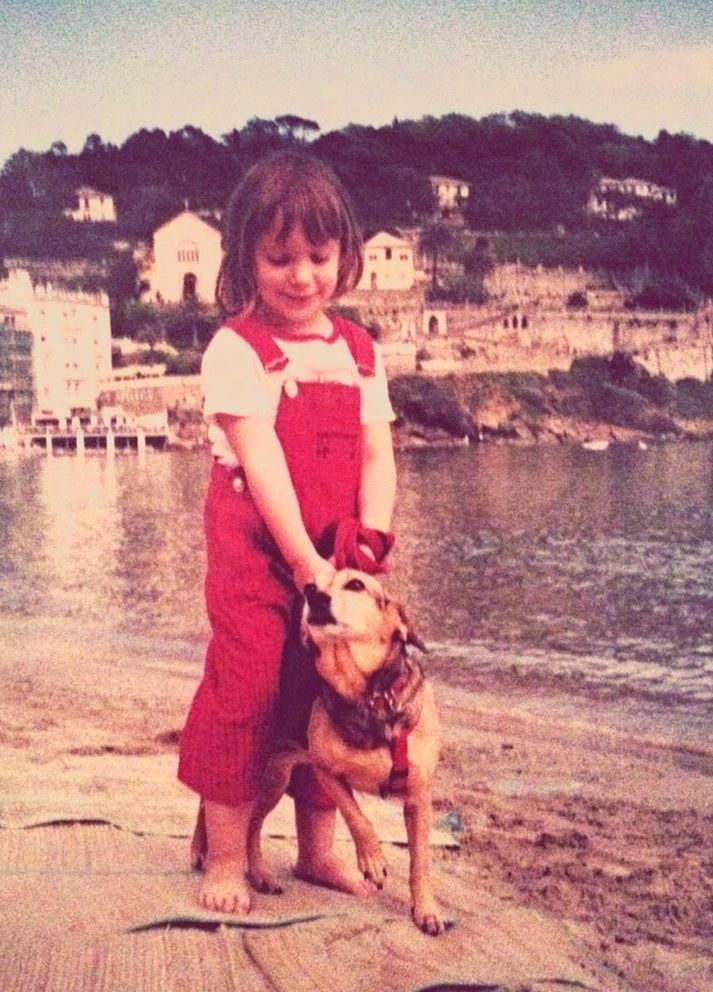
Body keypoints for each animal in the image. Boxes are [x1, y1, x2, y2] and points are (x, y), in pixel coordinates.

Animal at [246, 568, 444, 932]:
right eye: (311, 585)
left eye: (355, 584)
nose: (314, 596)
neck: (371, 697)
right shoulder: (328, 772)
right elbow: (358, 818)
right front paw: (373, 860)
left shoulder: (418, 797)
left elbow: (420, 862)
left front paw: (426, 910)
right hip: (270, 780)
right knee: (247, 825)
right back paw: (253, 872)